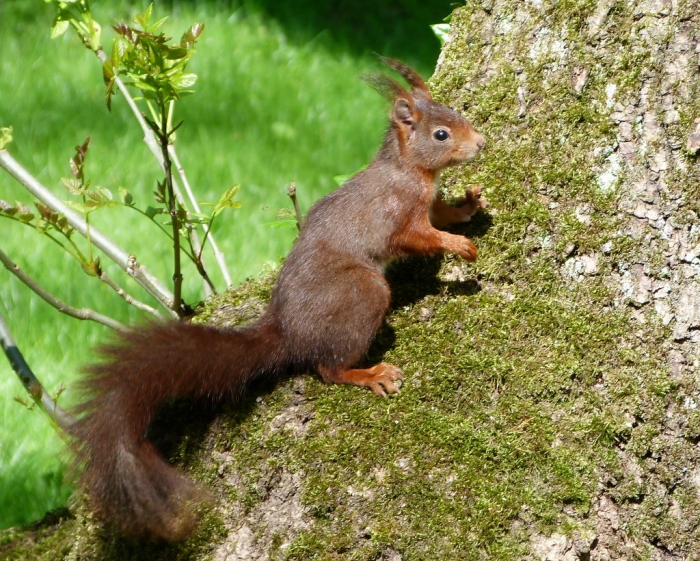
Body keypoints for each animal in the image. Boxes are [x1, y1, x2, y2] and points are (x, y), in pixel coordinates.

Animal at [68, 58, 487, 541]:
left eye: (456, 111)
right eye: (440, 134)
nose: (481, 142)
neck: (407, 170)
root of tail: (288, 331)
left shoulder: (427, 202)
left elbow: (443, 213)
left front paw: (468, 206)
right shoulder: (399, 215)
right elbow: (421, 237)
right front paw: (459, 246)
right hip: (362, 293)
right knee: (328, 368)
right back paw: (369, 374)